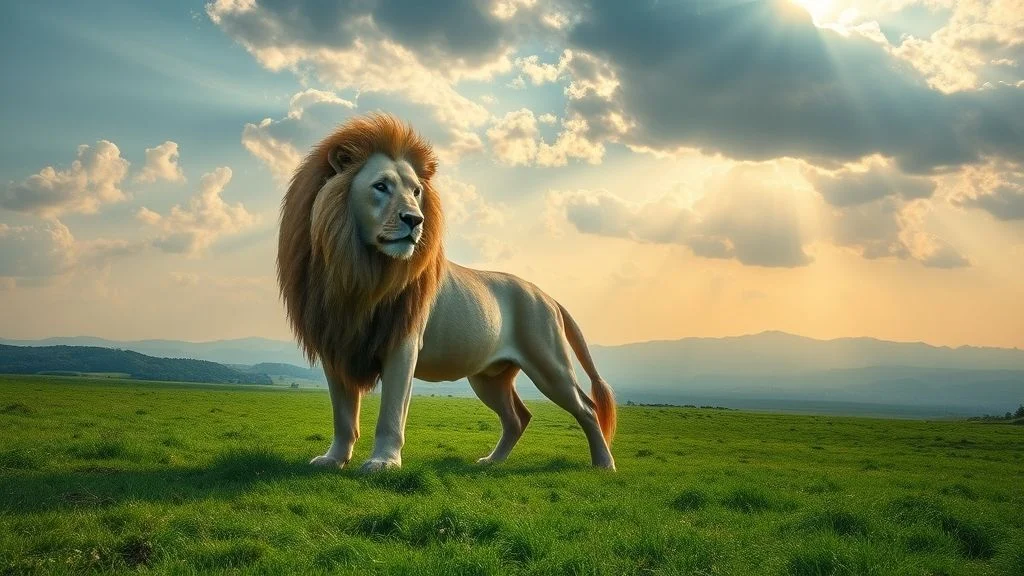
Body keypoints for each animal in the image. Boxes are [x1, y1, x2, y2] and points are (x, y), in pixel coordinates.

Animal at [277, 113, 616, 471]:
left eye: (416, 191)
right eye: (381, 186)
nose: (415, 220)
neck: (359, 269)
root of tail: (548, 296)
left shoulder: (403, 344)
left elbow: (391, 414)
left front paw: (384, 463)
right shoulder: (335, 345)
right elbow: (343, 415)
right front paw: (333, 459)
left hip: (550, 365)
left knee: (586, 407)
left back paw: (604, 465)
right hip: (489, 377)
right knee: (518, 417)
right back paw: (491, 462)